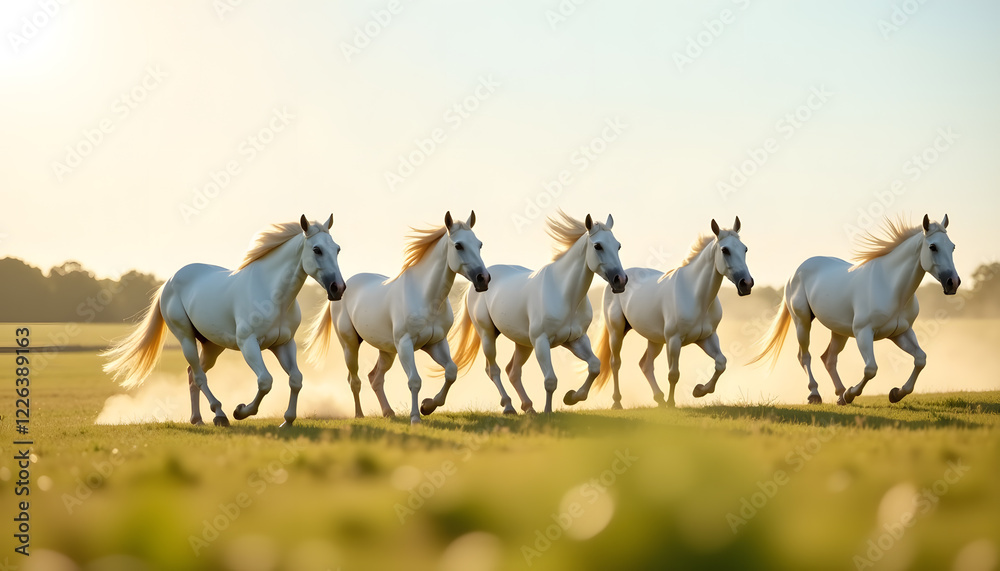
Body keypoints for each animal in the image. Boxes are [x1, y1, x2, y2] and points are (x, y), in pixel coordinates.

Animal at [102, 215, 347, 427]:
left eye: (337, 249)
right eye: (316, 249)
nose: (338, 288)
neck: (272, 295)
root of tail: (169, 282)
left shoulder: (284, 345)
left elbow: (296, 379)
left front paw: (287, 421)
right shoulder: (248, 344)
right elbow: (265, 381)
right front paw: (240, 411)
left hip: (212, 346)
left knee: (192, 375)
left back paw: (198, 419)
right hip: (186, 339)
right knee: (199, 376)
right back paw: (219, 415)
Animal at [304, 212, 489, 425]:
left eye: (479, 244)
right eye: (459, 245)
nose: (483, 279)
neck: (425, 297)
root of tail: (343, 286)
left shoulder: (436, 343)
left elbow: (451, 371)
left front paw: (427, 406)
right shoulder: (405, 344)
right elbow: (415, 380)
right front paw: (416, 417)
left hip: (387, 351)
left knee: (375, 377)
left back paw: (388, 412)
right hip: (349, 345)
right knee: (354, 380)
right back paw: (359, 415)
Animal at [449, 211, 627, 414]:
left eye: (618, 245)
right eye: (598, 246)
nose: (620, 280)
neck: (565, 295)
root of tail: (478, 281)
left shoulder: (576, 340)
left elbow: (595, 366)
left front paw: (571, 397)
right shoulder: (542, 342)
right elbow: (550, 380)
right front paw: (548, 411)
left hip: (523, 343)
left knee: (513, 371)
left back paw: (529, 407)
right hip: (487, 334)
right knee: (493, 370)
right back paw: (509, 406)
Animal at [589, 217, 753, 409]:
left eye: (744, 248)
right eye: (725, 250)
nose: (746, 283)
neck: (696, 297)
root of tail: (618, 279)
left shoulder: (707, 337)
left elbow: (721, 363)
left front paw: (699, 390)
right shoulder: (674, 341)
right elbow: (673, 374)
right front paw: (672, 404)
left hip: (655, 339)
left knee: (645, 364)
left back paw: (659, 398)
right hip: (616, 332)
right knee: (615, 363)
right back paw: (617, 403)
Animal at [750, 214, 959, 405]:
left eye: (952, 247)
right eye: (933, 247)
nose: (953, 282)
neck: (891, 287)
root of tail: (795, 272)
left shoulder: (901, 333)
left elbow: (920, 359)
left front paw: (895, 393)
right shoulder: (863, 333)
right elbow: (871, 369)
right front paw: (851, 394)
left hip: (839, 331)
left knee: (829, 358)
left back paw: (839, 393)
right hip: (802, 323)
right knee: (805, 356)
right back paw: (816, 395)